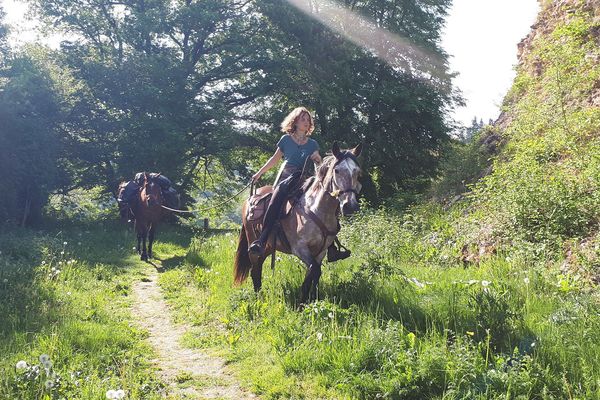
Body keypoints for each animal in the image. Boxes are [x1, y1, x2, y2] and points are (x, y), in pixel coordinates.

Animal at [233, 142, 360, 302]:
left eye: (357, 172)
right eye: (336, 171)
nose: (351, 206)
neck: (316, 208)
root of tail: (250, 198)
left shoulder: (321, 250)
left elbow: (315, 274)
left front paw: (313, 299)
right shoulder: (300, 248)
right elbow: (313, 270)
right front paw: (302, 302)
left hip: (268, 247)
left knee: (258, 267)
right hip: (253, 242)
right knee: (255, 269)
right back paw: (259, 299)